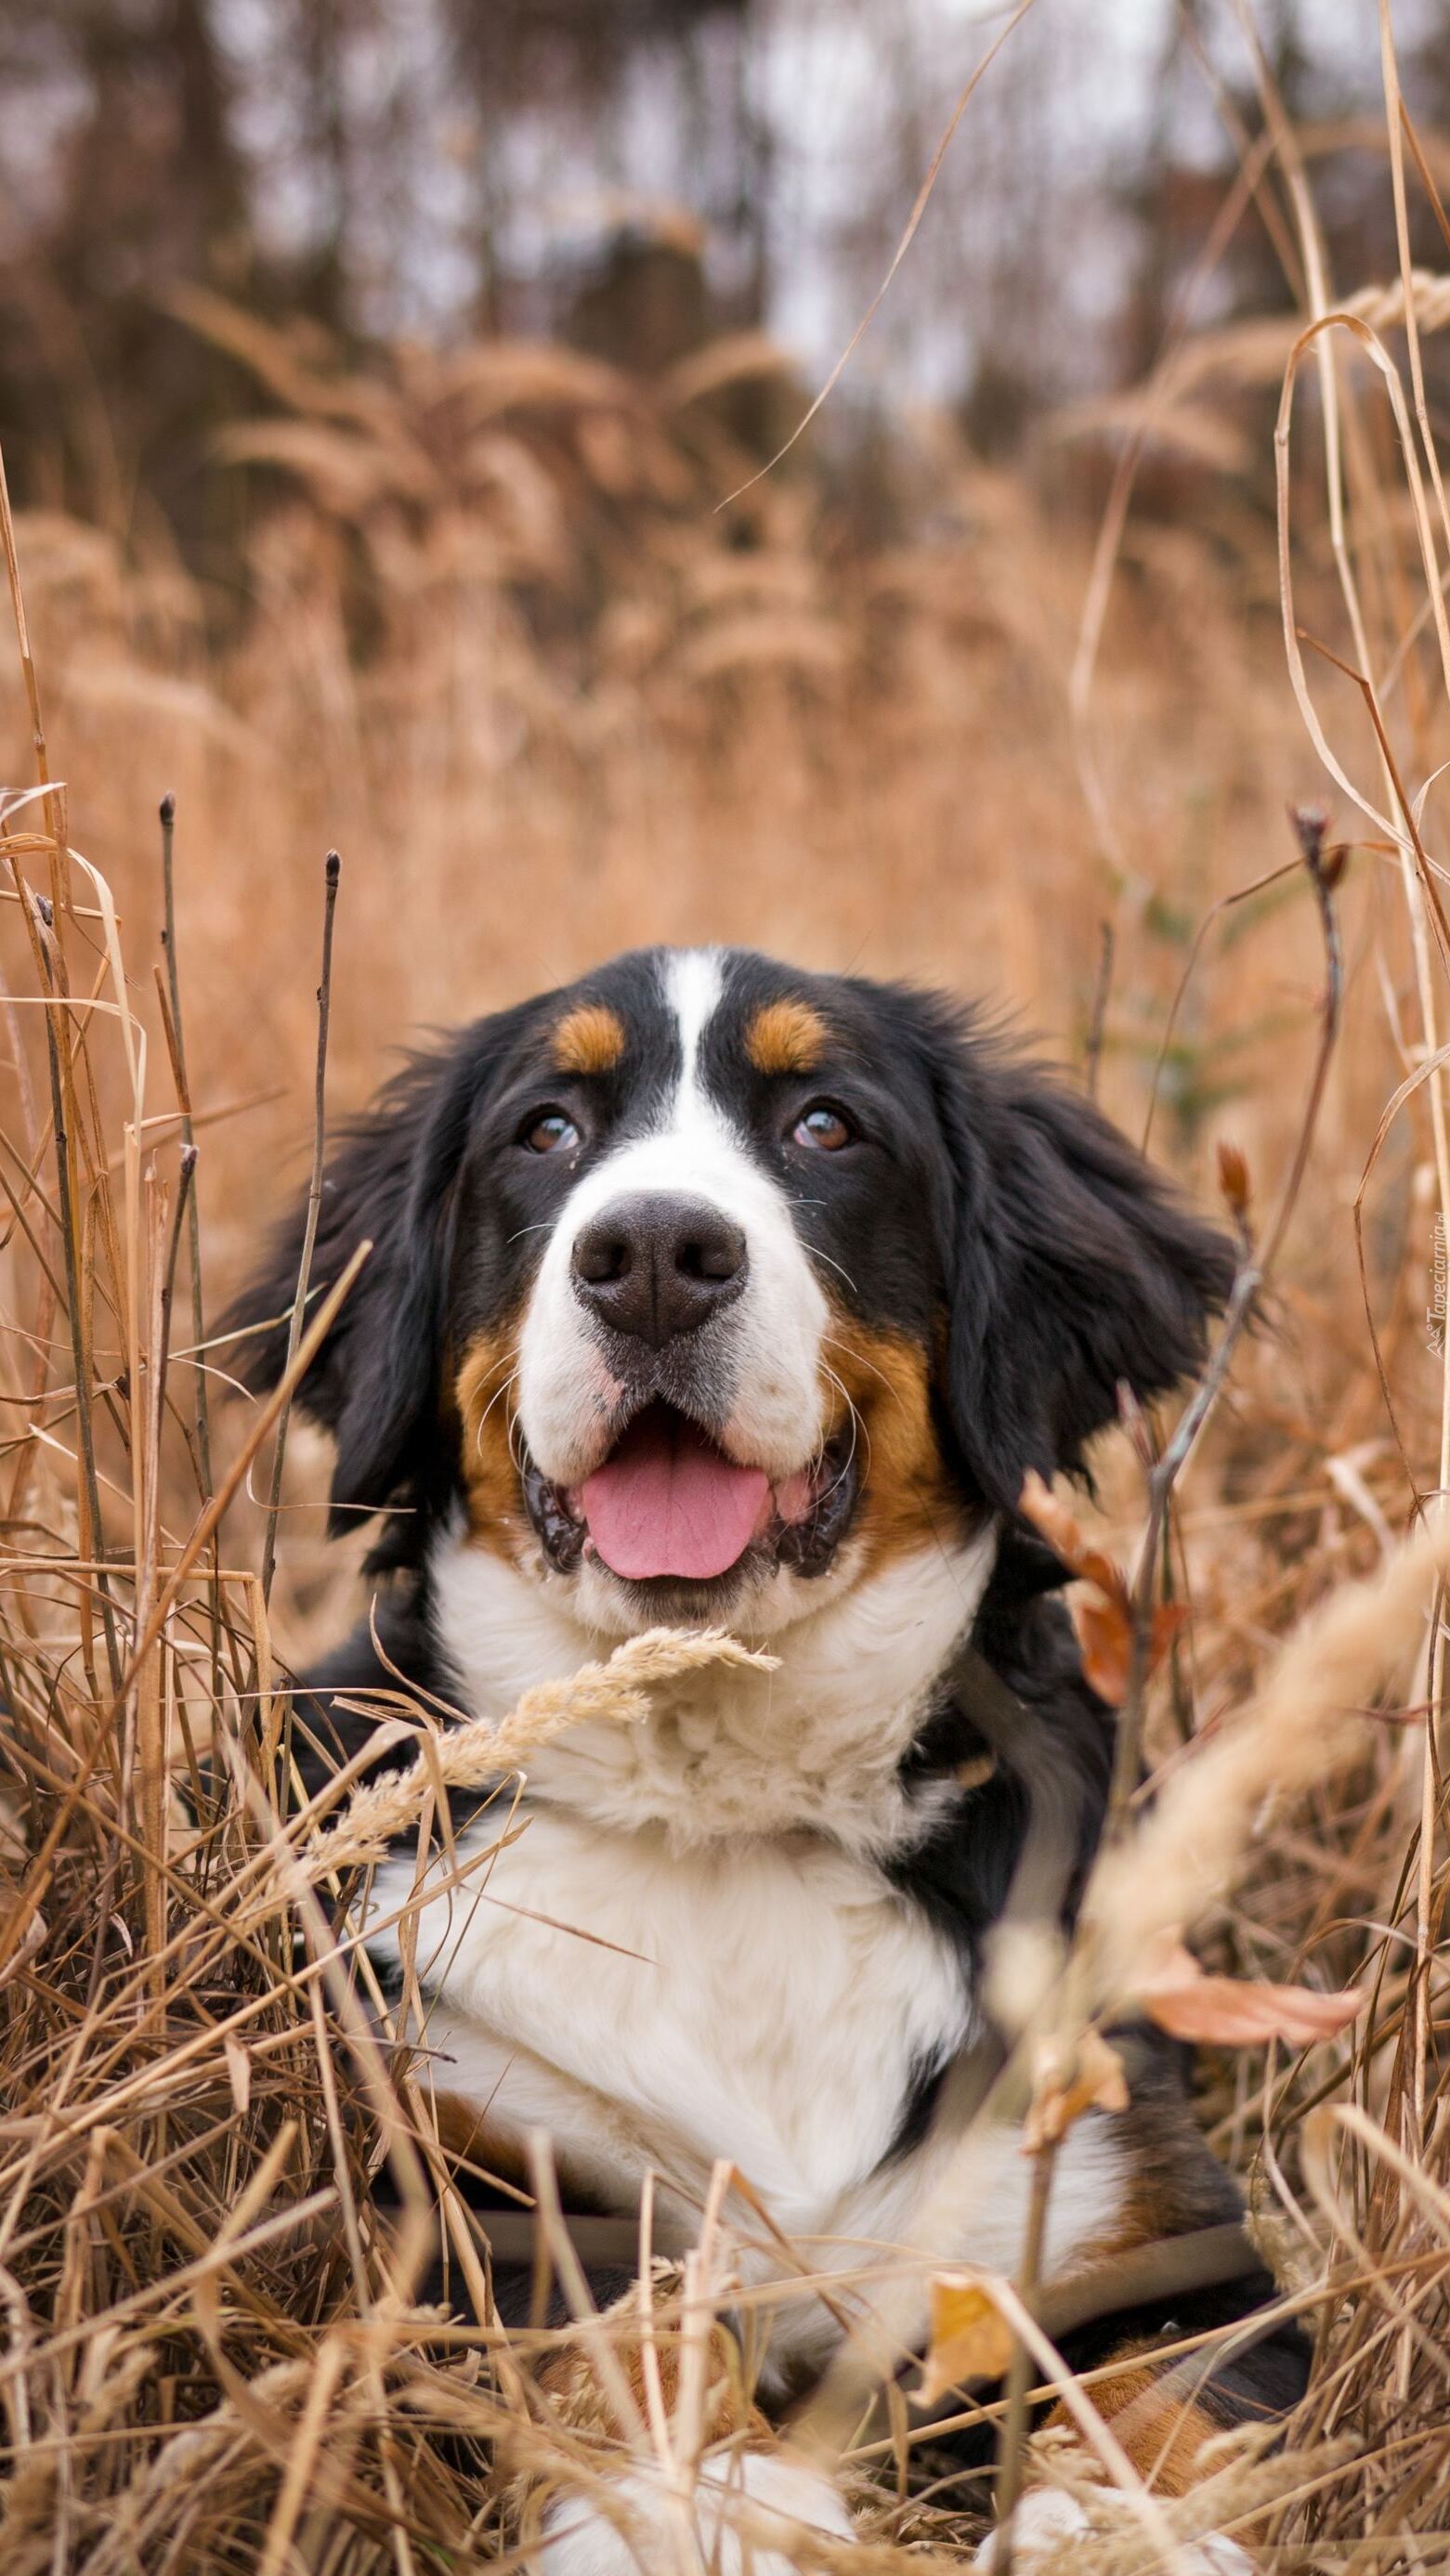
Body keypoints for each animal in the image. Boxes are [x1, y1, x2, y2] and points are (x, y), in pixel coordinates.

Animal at [232, 947, 1308, 2576]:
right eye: (546, 1130)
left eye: (825, 1126)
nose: (654, 1254)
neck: (719, 1804)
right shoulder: (467, 2169)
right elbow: (614, 2330)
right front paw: (710, 2495)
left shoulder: (1133, 2209)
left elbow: (1161, 2396)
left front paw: (1118, 2527)